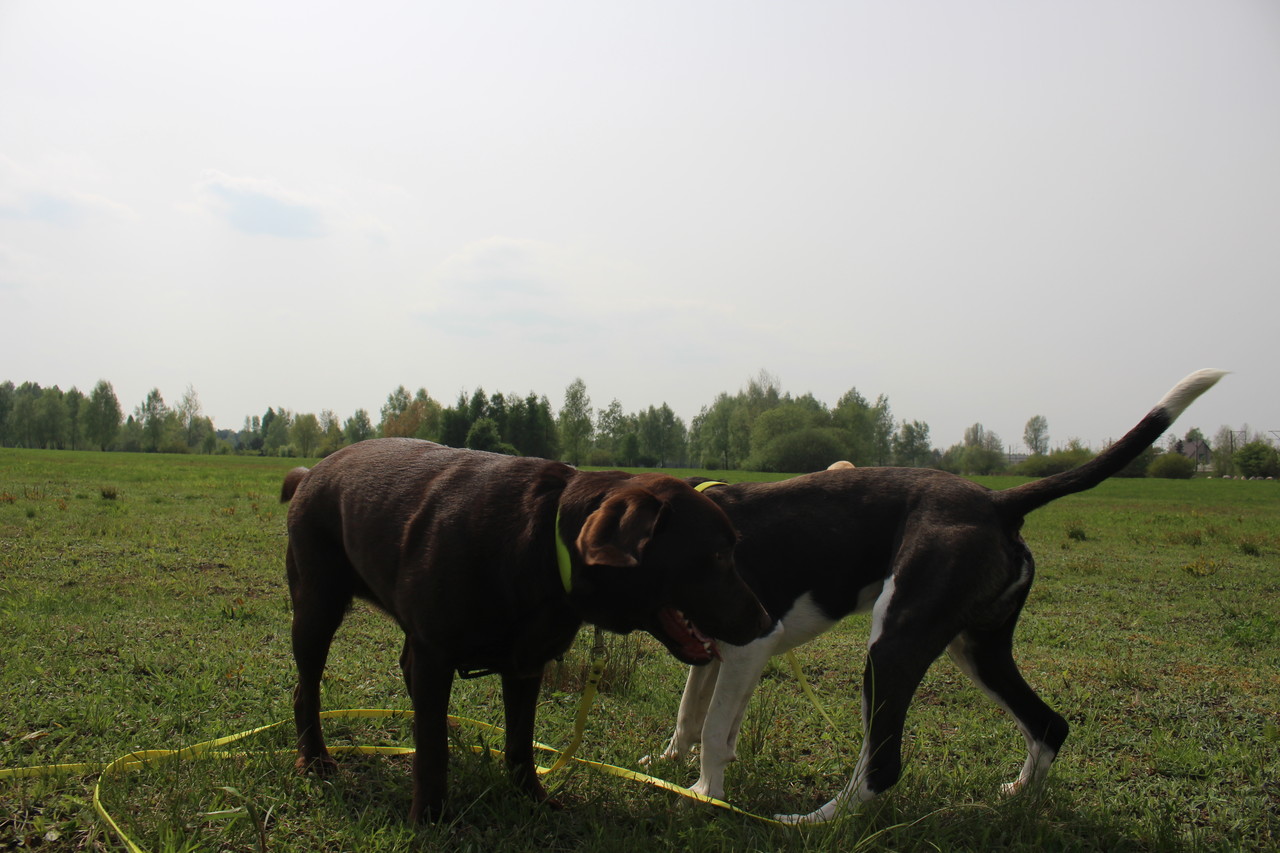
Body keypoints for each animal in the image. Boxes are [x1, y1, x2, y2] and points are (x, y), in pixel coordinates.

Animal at [280, 438, 773, 822]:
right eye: (718, 556)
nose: (765, 621)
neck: (544, 550)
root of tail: (310, 472)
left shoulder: (525, 664)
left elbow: (520, 741)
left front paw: (531, 798)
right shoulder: (435, 653)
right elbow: (432, 749)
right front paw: (430, 815)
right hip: (316, 606)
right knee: (307, 689)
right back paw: (315, 759)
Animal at [647, 369, 1224, 823]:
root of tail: (996, 501)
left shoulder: (754, 642)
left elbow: (714, 730)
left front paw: (704, 794)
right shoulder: (720, 653)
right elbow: (691, 715)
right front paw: (669, 764)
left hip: (893, 646)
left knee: (882, 764)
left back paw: (814, 822)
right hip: (977, 647)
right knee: (1048, 724)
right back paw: (1019, 800)